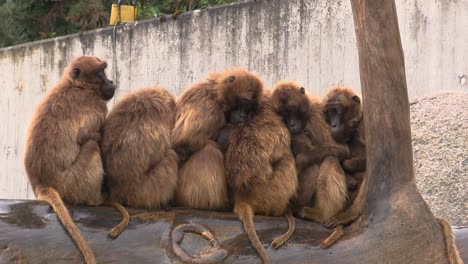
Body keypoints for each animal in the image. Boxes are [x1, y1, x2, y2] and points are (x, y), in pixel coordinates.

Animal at [24, 55, 116, 264]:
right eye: (100, 72)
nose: (111, 82)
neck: (76, 86)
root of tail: (41, 184)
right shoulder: (96, 105)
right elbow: (88, 136)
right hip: (70, 184)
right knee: (91, 146)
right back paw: (96, 200)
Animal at [268, 80, 350, 248]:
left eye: (292, 110)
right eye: (284, 113)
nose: (291, 123)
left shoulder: (317, 112)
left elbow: (343, 150)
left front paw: (302, 159)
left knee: (330, 158)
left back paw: (323, 215)